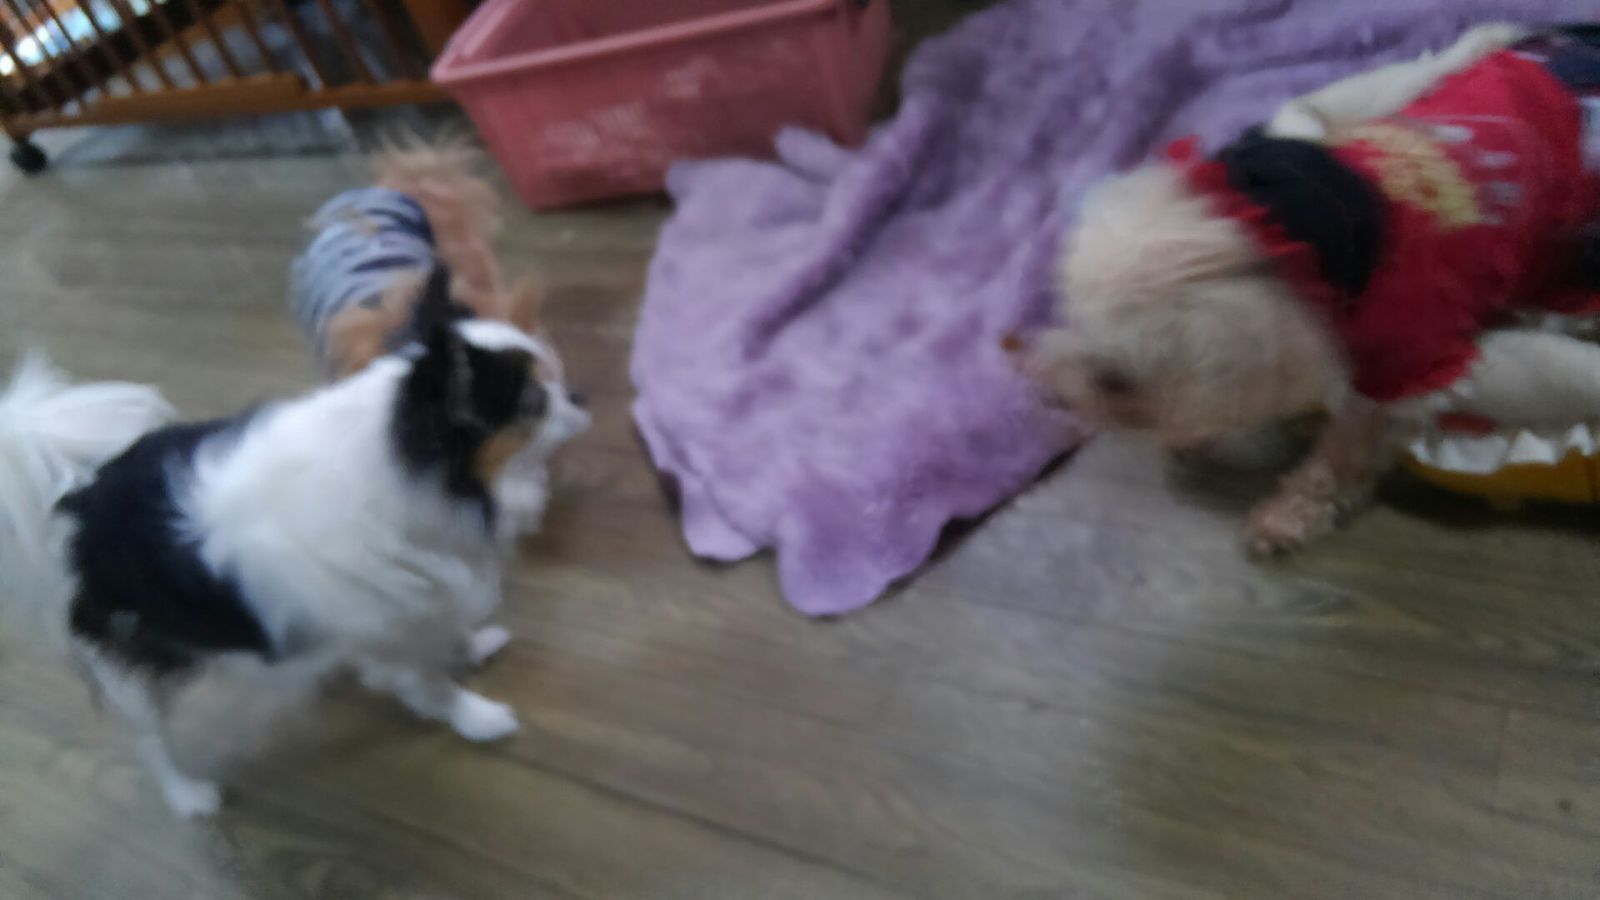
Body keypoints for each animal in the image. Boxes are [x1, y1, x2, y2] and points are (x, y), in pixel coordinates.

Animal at [0, 278, 589, 817]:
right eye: (534, 403)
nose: (581, 394)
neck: (411, 465)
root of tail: (76, 503)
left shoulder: (414, 602)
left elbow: (439, 630)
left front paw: (471, 645)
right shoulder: (385, 634)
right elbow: (431, 685)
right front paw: (479, 719)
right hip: (141, 666)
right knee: (151, 738)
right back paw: (188, 794)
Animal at [1021, 23, 1600, 554]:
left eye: (1117, 381)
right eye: (1068, 314)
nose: (1050, 396)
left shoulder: (1407, 362)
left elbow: (1344, 450)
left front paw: (1290, 510)